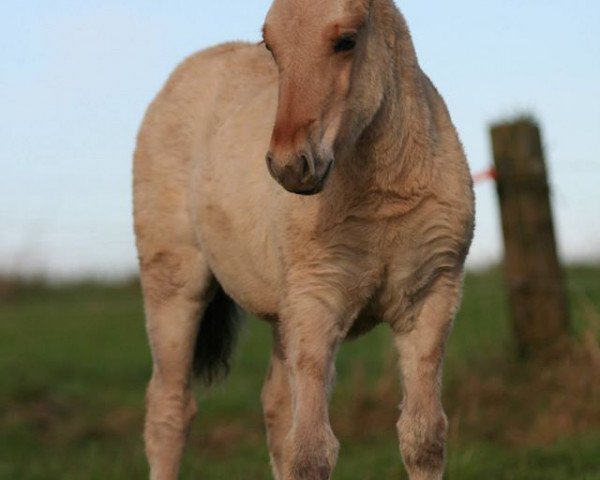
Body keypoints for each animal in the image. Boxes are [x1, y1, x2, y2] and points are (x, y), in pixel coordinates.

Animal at [134, 0, 476, 480]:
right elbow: (313, 451)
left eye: (346, 41)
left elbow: (423, 437)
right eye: (271, 46)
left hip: (283, 313)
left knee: (276, 408)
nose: (289, 166)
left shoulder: (431, 296)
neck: (382, 193)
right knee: (170, 410)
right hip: (174, 281)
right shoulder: (316, 300)